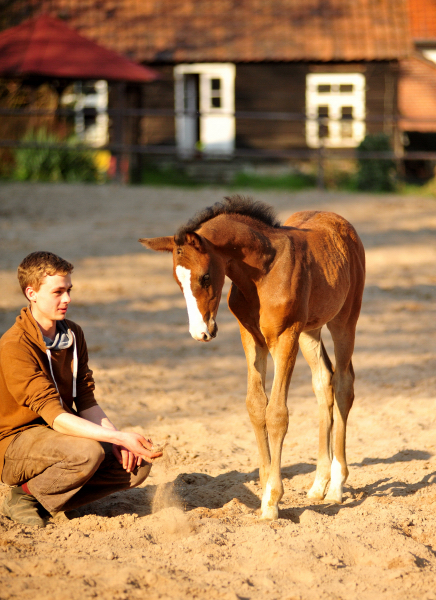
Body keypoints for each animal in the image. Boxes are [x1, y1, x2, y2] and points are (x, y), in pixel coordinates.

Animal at [140, 197, 364, 520]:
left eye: (205, 277)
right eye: (177, 281)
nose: (200, 333)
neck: (262, 273)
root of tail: (341, 223)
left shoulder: (285, 337)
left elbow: (277, 414)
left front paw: (272, 501)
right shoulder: (252, 337)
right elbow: (256, 406)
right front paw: (266, 487)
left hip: (344, 321)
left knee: (344, 385)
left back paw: (335, 487)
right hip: (311, 330)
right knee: (324, 384)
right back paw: (318, 484)